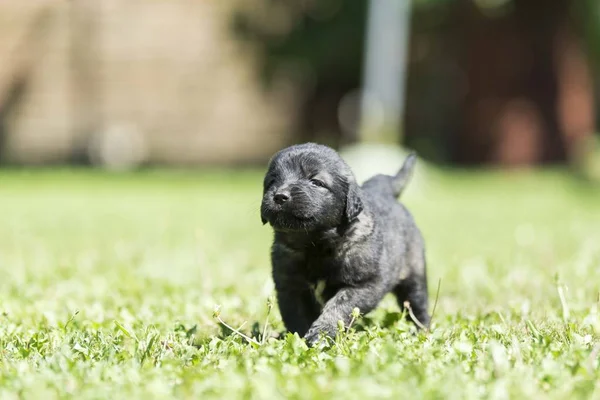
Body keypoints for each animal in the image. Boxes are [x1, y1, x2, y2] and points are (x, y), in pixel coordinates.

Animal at [260, 142, 428, 346]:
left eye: (316, 182)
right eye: (272, 181)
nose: (279, 196)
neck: (314, 245)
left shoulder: (363, 284)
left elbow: (339, 307)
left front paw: (321, 334)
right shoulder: (290, 287)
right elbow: (296, 316)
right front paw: (297, 339)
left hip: (414, 277)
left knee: (418, 305)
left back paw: (422, 331)